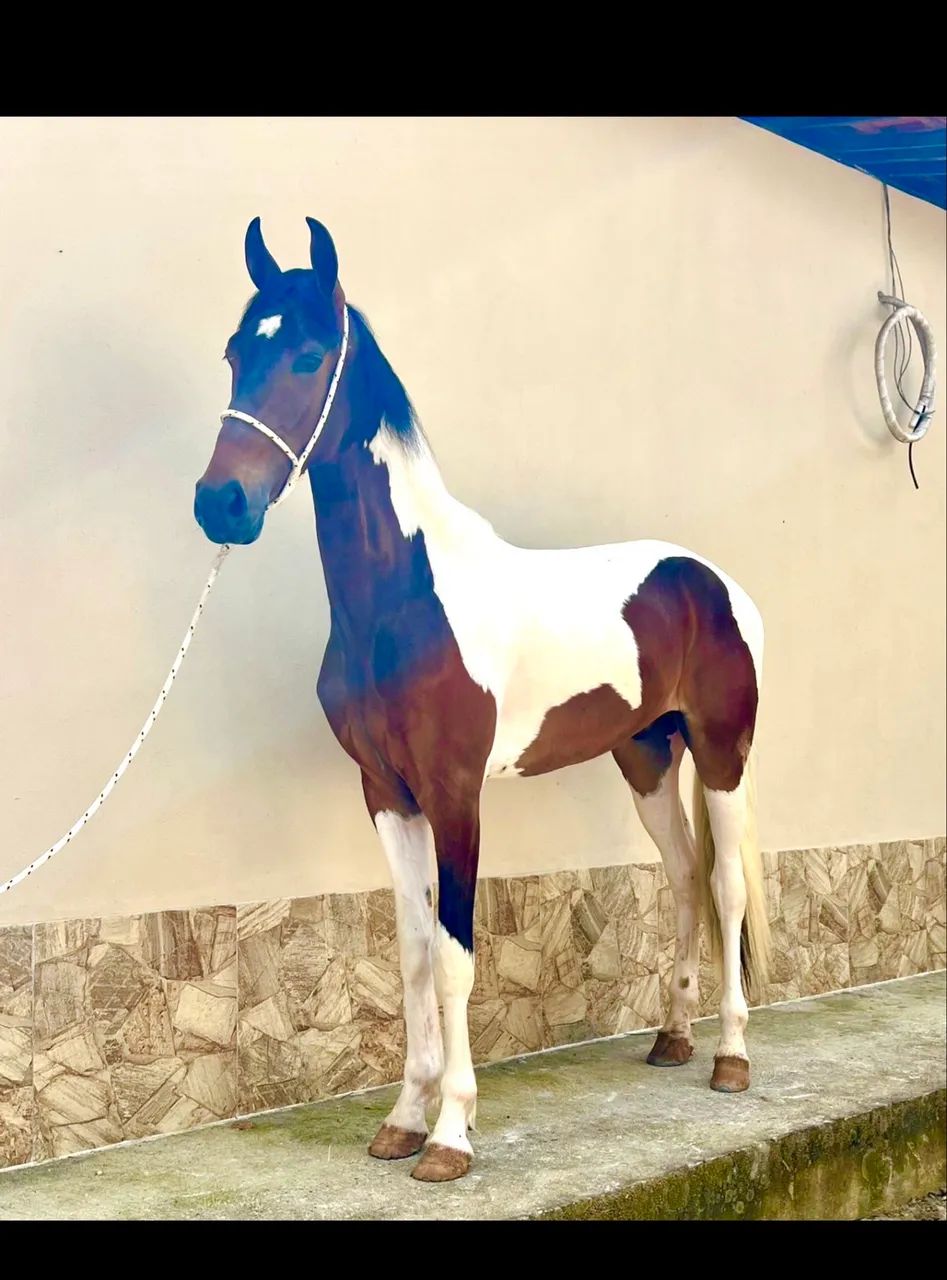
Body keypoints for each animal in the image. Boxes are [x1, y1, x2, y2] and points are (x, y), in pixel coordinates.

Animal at [194, 217, 771, 1183]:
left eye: (310, 356)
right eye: (236, 353)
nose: (220, 505)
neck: (404, 600)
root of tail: (712, 581)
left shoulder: (455, 793)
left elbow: (457, 960)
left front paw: (451, 1134)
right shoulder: (387, 795)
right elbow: (413, 955)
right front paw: (402, 1118)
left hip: (720, 752)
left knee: (724, 884)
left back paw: (730, 1055)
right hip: (647, 759)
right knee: (683, 874)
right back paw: (672, 1039)